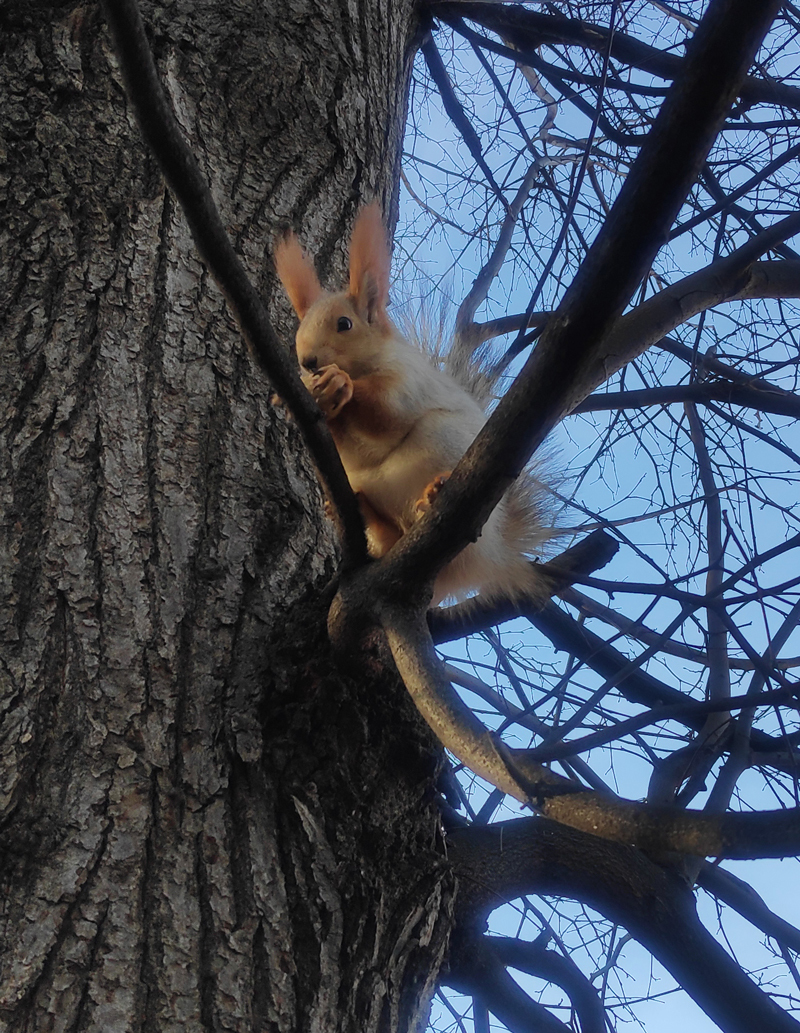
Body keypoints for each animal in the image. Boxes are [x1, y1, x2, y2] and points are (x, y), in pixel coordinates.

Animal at [274, 203, 549, 603]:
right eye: (299, 330)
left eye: (345, 324)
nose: (308, 362)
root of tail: (490, 557)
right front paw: (303, 395)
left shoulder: (406, 381)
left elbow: (385, 414)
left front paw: (341, 384)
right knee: (387, 537)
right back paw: (363, 512)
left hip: (443, 447)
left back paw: (432, 496)